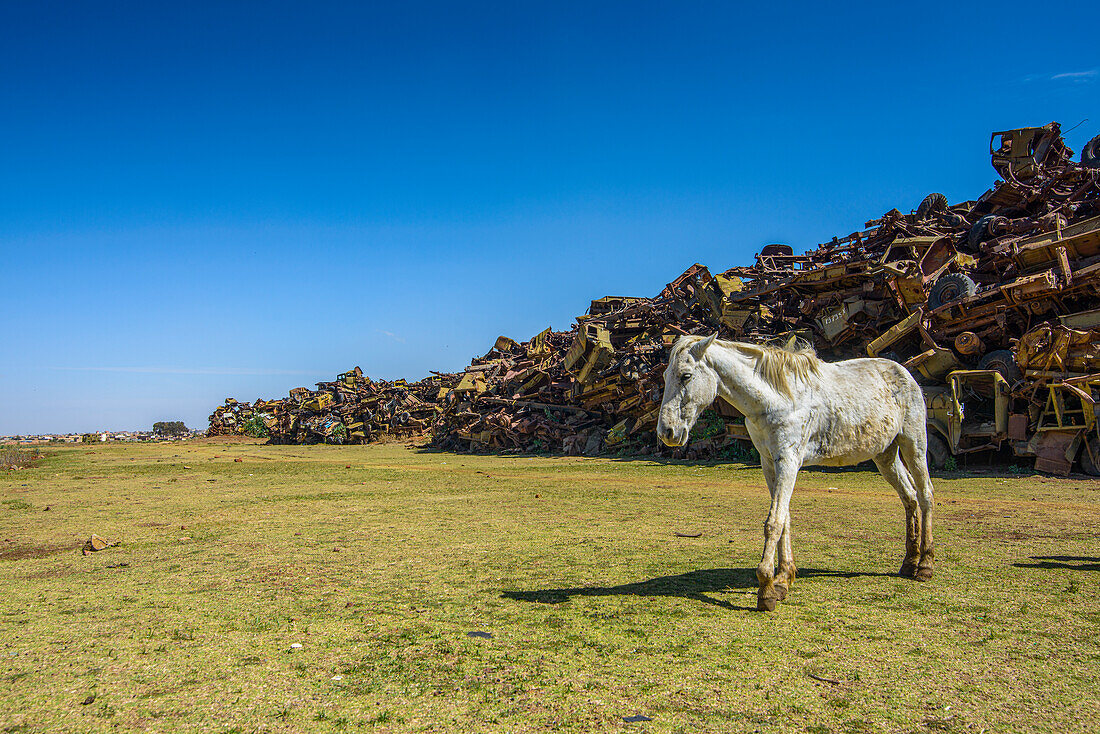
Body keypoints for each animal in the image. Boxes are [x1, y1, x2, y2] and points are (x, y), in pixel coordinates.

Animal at [655, 336, 932, 611]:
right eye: (666, 375)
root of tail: (905, 372)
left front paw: (766, 589)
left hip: (914, 445)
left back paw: (925, 565)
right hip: (885, 455)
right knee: (909, 497)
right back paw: (909, 562)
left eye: (686, 376)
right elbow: (785, 520)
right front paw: (783, 580)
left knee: (925, 494)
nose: (667, 432)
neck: (776, 400)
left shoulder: (788, 462)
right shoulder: (769, 464)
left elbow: (774, 522)